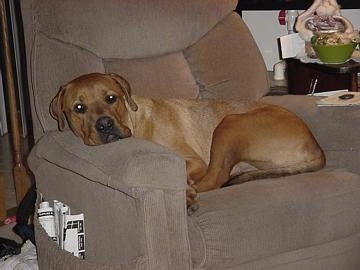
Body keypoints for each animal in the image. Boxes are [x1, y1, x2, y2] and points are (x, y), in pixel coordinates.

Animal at [51, 73, 326, 206]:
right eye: (78, 108)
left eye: (111, 98)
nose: (105, 125)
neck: (135, 125)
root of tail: (316, 146)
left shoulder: (194, 161)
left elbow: (186, 172)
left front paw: (187, 190)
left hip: (230, 124)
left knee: (217, 177)